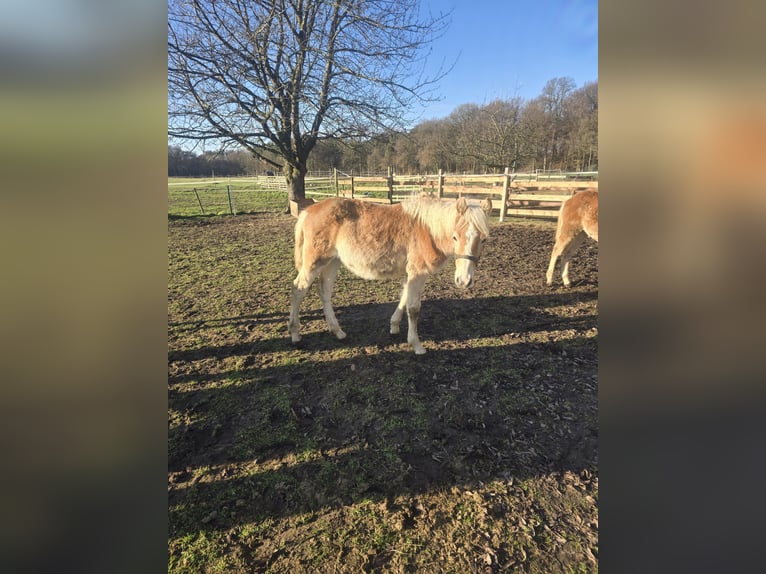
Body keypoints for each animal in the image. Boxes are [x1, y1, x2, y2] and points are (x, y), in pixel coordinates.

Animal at [288, 196, 492, 354]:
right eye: (455, 237)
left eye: (484, 239)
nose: (464, 281)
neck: (427, 230)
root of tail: (308, 211)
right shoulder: (418, 274)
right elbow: (413, 308)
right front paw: (416, 345)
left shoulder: (410, 274)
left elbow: (403, 298)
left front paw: (394, 326)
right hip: (315, 262)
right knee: (298, 289)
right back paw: (295, 334)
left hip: (332, 261)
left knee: (324, 291)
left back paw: (337, 331)